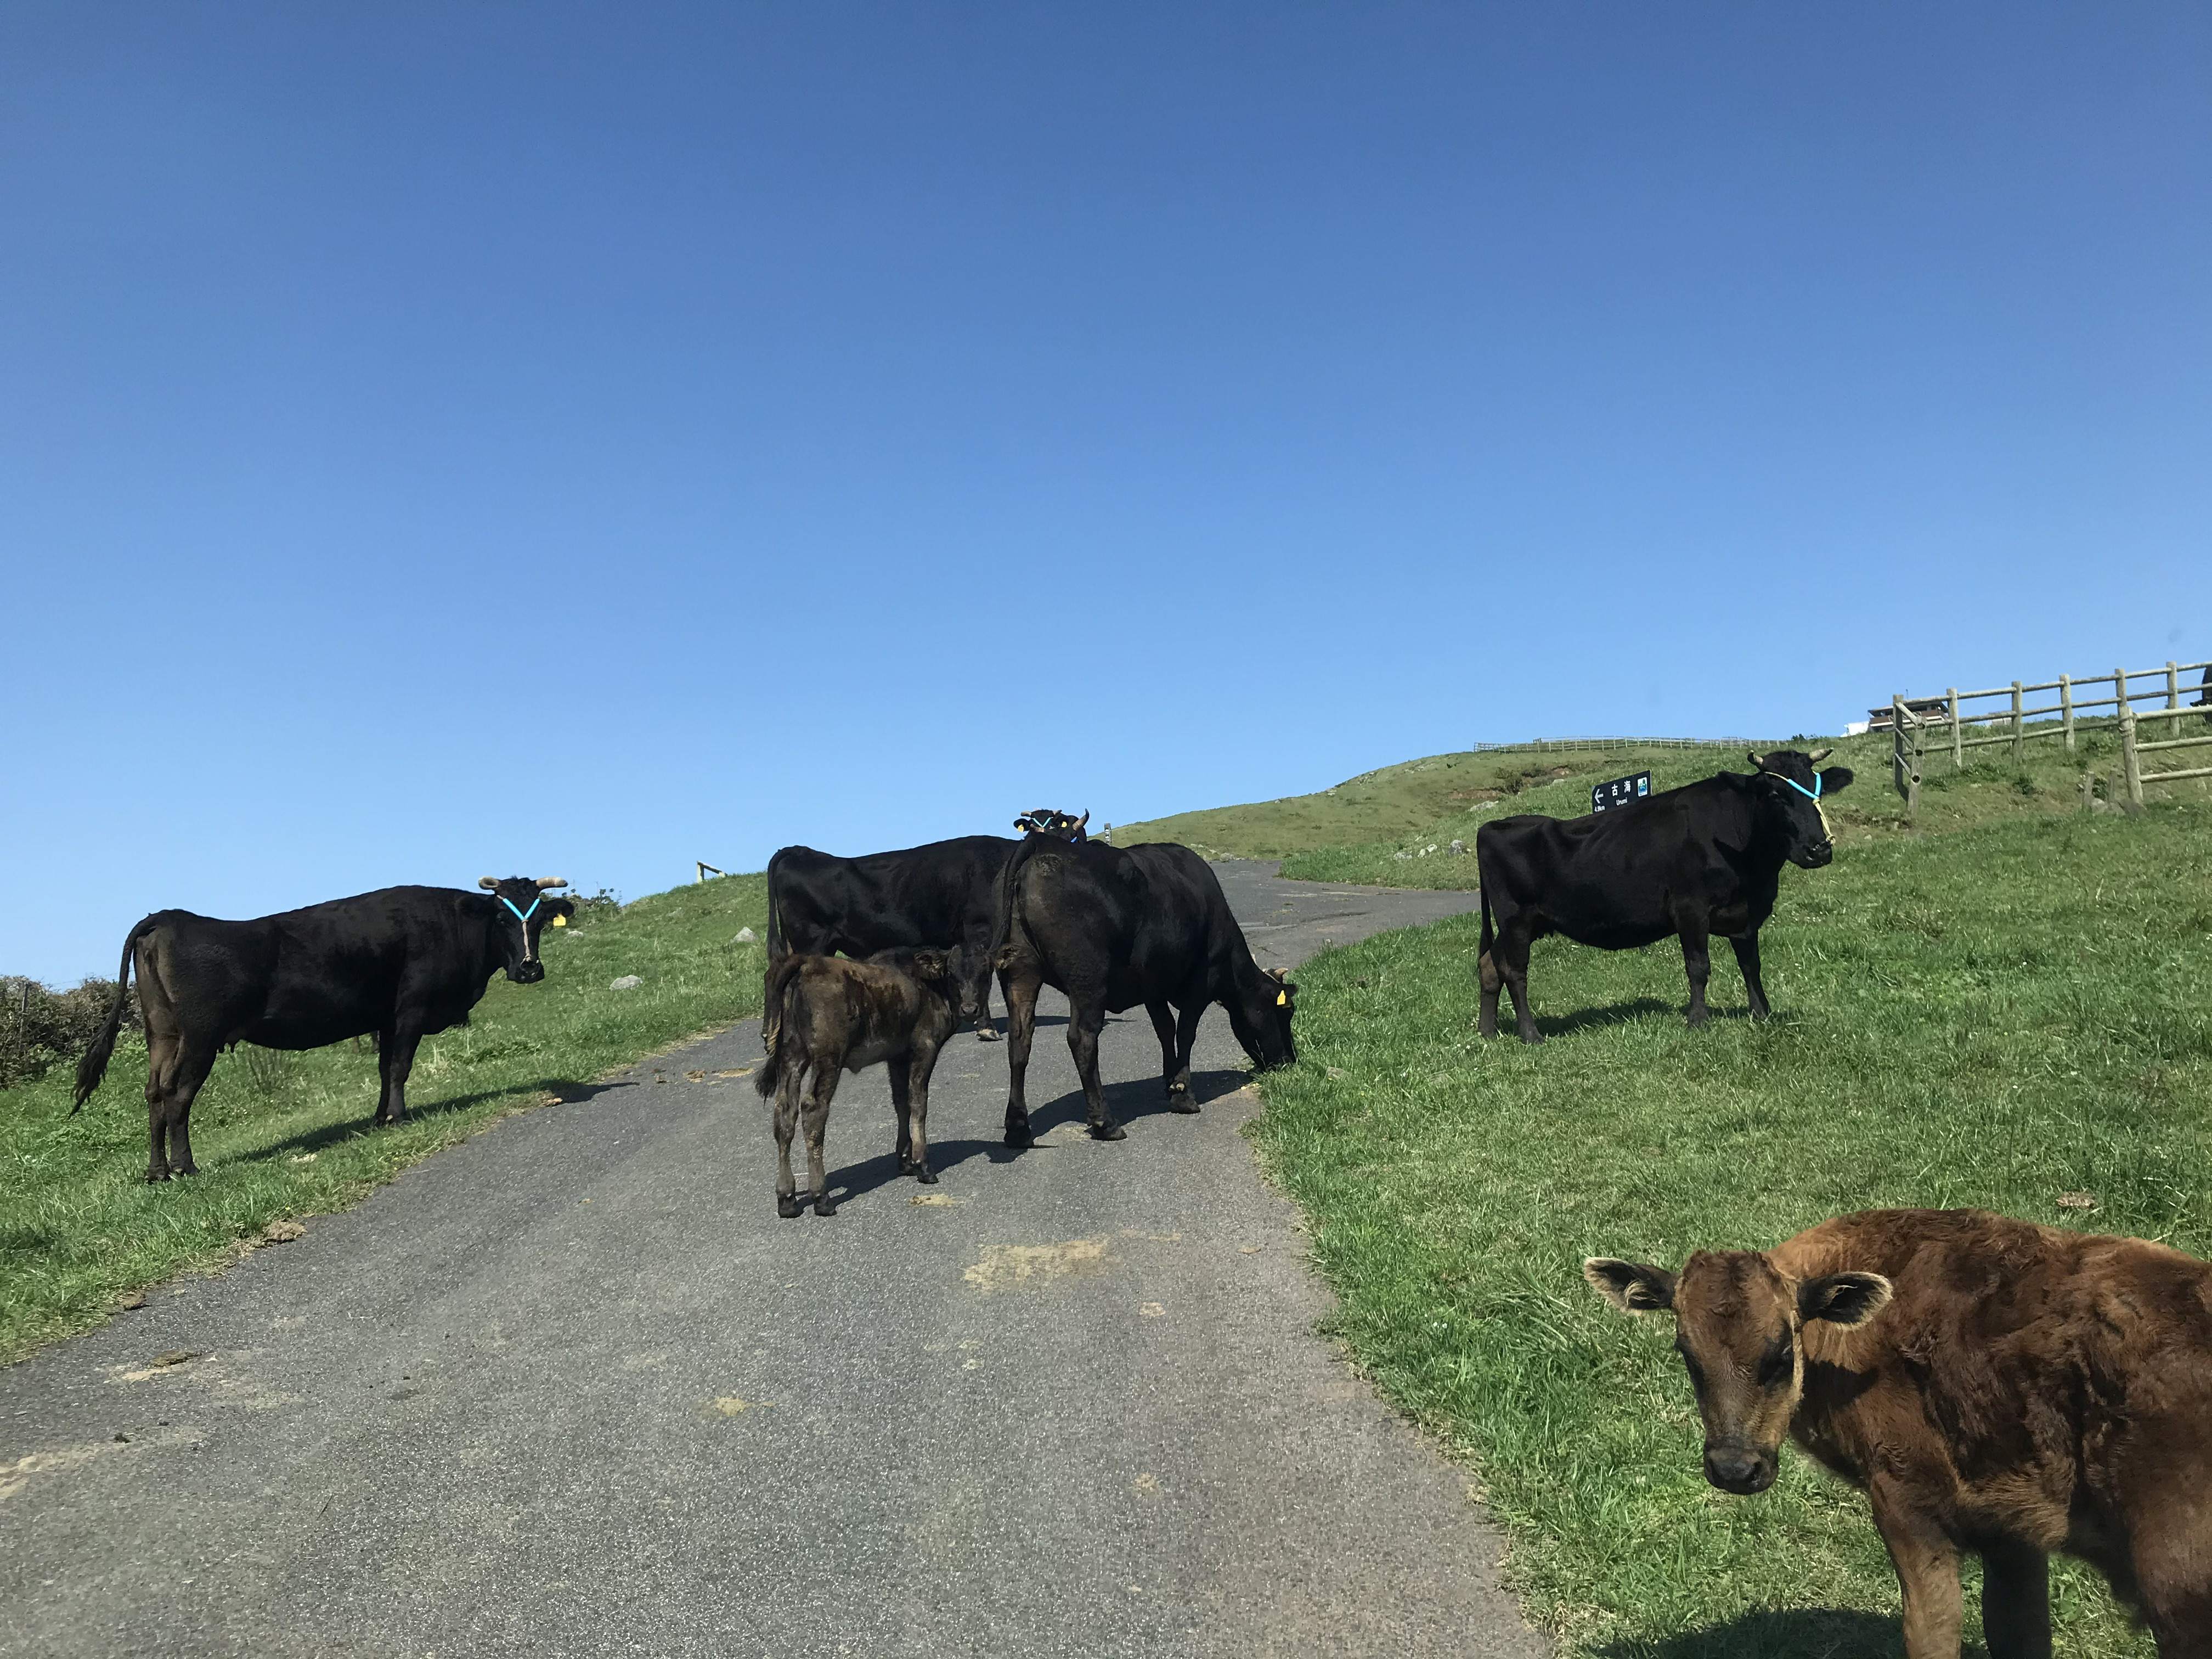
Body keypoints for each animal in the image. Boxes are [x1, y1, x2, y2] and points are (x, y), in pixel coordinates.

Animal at [76, 884, 579, 1186]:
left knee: (154, 1092)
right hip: (200, 1037)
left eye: (539, 920)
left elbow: (383, 1069)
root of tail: (169, 917)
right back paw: (185, 1166)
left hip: (163, 1035)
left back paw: (156, 1171)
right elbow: (400, 1066)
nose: (530, 968)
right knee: (178, 1095)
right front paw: (400, 1118)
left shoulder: (384, 1018)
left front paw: (380, 1118)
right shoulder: (411, 1009)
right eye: (503, 919)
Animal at [752, 946, 960, 1221]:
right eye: (955, 969)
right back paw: (822, 1198)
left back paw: (787, 1200)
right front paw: (923, 1166)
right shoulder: (924, 1050)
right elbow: (918, 1104)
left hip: (791, 1057)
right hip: (828, 1060)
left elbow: (902, 1104)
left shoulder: (897, 1058)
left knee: (785, 1114)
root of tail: (806, 963)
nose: (972, 1007)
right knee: (813, 1111)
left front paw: (905, 1161)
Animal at [991, 836, 1291, 1150]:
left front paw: (1170, 1083)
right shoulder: (1200, 984)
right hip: (1088, 979)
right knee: (1082, 1039)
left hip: (1021, 974)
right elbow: (1185, 1033)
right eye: (1286, 1011)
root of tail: (1042, 845)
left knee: (1020, 1039)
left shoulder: (1152, 989)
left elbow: (1165, 1029)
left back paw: (1018, 1129)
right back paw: (1106, 1122)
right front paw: (1183, 1094)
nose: (1290, 1060)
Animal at [1477, 752, 1858, 1044]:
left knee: (1488, 965)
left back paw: (1487, 1033)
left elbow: (1751, 965)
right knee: (1514, 972)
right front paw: (1698, 1020)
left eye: (1817, 790)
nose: (1818, 849)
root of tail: (1491, 826)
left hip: (1526, 924)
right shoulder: (1690, 908)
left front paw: (1762, 1012)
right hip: (1516, 920)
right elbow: (1699, 967)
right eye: (1776, 795)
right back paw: (1531, 1035)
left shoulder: (1746, 914)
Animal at [1593, 1212, 2212, 1659]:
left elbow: (1932, 1633)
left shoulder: (1909, 1508)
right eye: (1687, 1354)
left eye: (1781, 1353)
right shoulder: (2013, 1530)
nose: (1734, 1469)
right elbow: (2019, 1632)